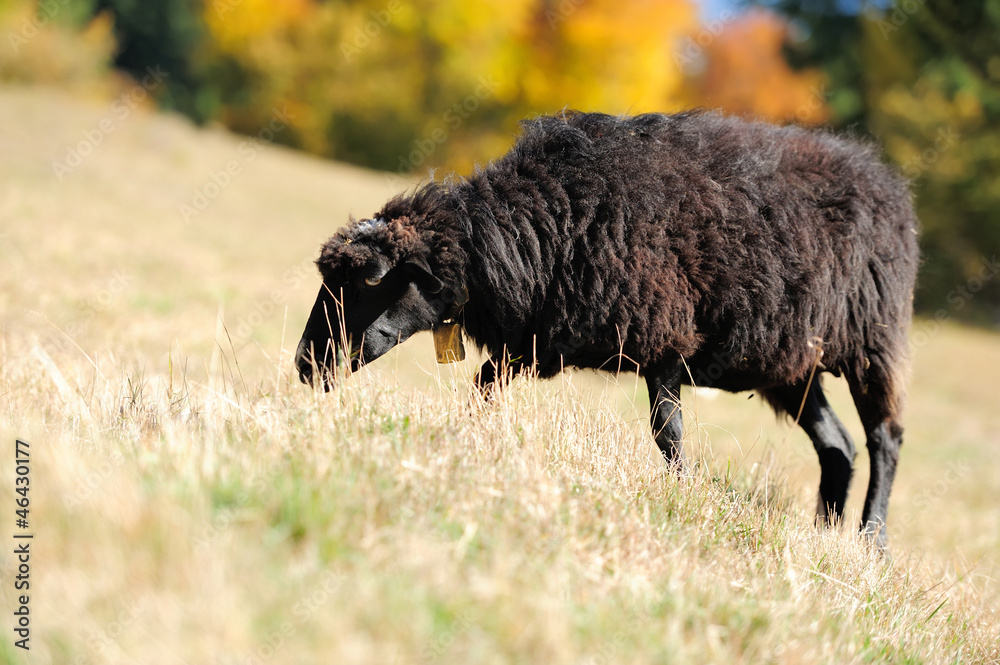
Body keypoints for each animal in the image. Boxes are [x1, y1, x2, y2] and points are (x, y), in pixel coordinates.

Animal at [296, 109, 920, 544]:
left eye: (368, 282)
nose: (305, 364)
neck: (534, 232)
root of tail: (884, 180)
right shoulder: (539, 343)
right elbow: (482, 389)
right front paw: (461, 443)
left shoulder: (665, 341)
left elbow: (668, 434)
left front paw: (680, 498)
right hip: (792, 364)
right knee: (837, 446)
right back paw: (824, 538)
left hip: (873, 341)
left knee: (884, 439)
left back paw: (872, 540)